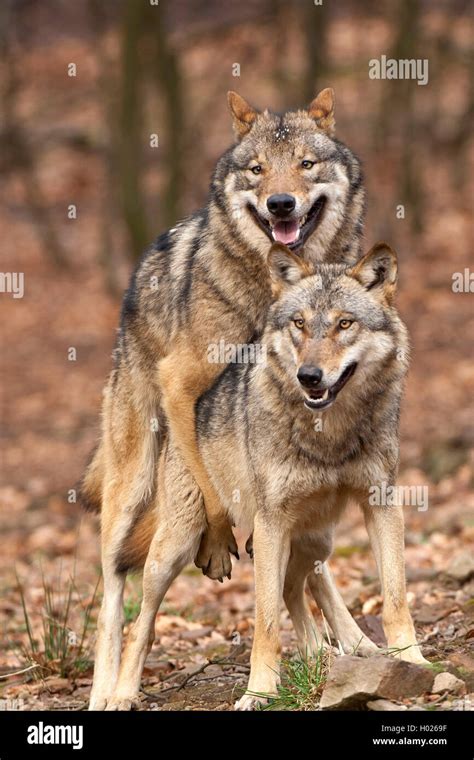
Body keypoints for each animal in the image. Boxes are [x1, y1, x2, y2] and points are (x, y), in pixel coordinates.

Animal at [82, 88, 366, 710]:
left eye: (306, 164)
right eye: (257, 170)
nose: (281, 204)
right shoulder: (183, 384)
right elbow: (212, 490)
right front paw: (216, 542)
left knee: (311, 570)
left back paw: (354, 642)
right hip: (132, 482)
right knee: (115, 588)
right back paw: (108, 689)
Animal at [99, 241, 426, 711]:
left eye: (344, 323)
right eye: (299, 323)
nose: (309, 376)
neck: (329, 434)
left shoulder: (381, 505)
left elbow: (395, 599)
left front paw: (412, 660)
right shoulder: (271, 524)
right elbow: (265, 624)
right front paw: (258, 692)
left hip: (316, 540)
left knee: (298, 588)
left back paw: (325, 658)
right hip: (175, 548)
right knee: (141, 621)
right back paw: (122, 693)